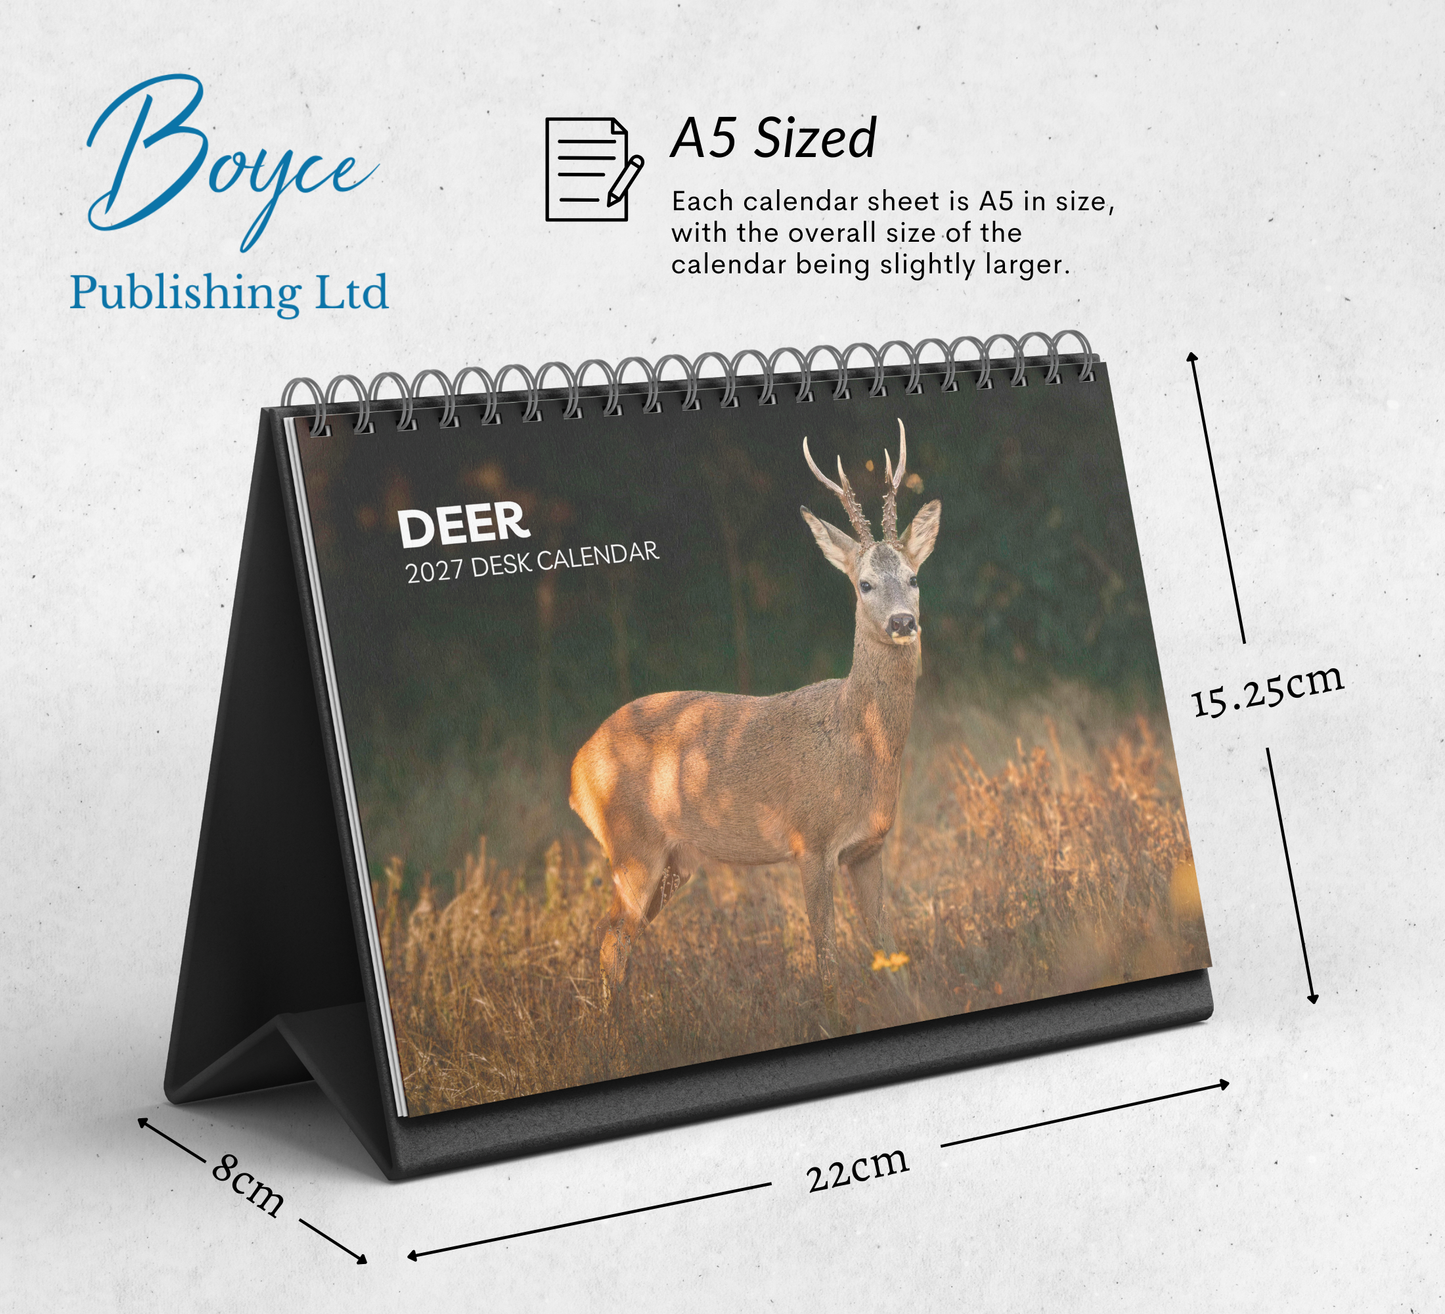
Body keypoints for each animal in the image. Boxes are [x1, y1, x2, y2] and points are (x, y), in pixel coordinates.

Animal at [568, 419, 941, 1016]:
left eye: (914, 578)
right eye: (864, 583)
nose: (904, 621)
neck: (862, 740)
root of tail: (576, 769)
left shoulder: (868, 847)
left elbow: (888, 949)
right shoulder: (811, 841)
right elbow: (825, 956)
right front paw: (831, 1018)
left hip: (673, 861)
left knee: (617, 938)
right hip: (631, 844)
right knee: (610, 937)